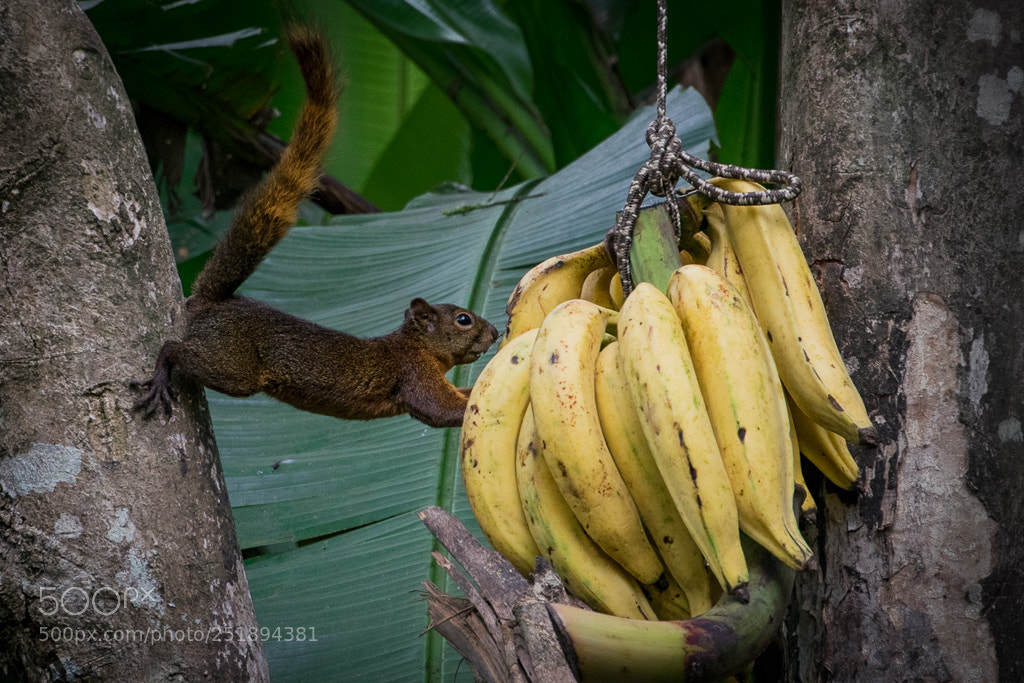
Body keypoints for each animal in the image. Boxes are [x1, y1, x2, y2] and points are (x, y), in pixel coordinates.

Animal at [132, 27, 498, 429]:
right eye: (463, 319)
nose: (497, 333)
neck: (413, 346)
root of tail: (210, 302)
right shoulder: (413, 373)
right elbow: (440, 409)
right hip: (233, 365)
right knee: (174, 349)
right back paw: (161, 374)